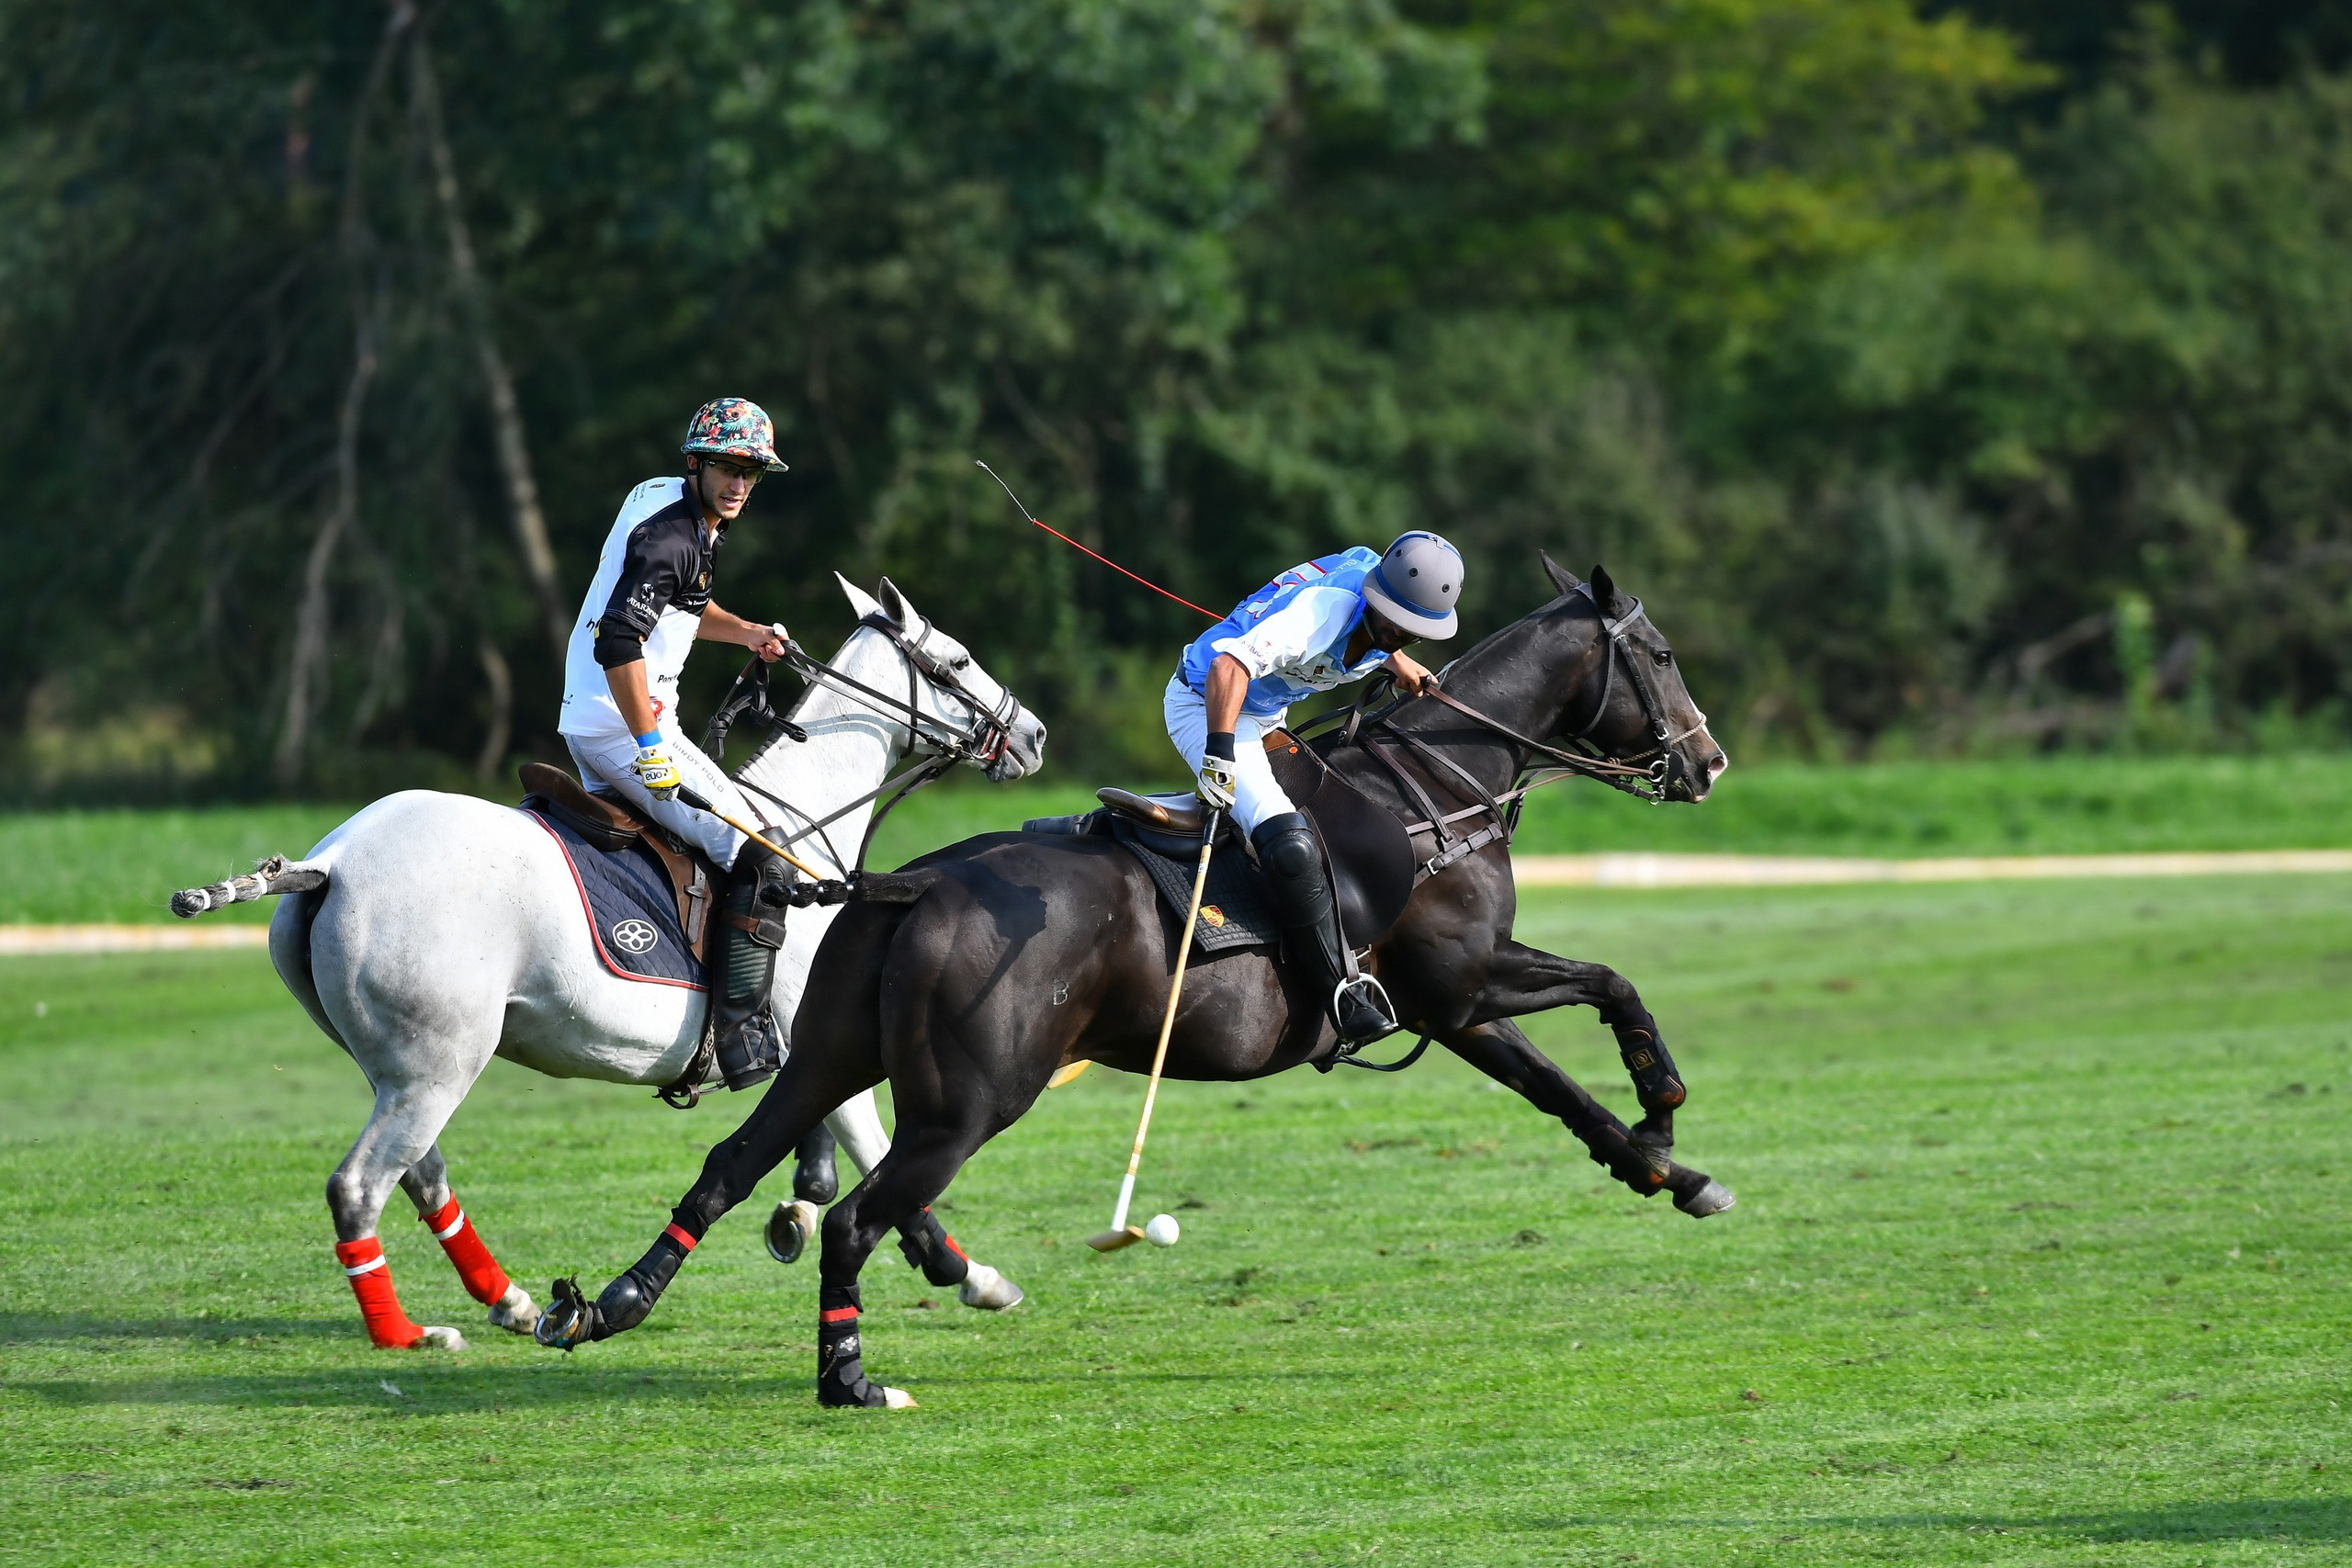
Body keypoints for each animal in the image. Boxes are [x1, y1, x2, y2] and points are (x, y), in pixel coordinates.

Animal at [174, 575, 1045, 1351]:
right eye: (958, 660)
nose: (1032, 735)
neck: (800, 827)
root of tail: (330, 861)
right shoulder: (825, 1040)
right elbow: (879, 1156)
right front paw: (972, 1276)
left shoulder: (816, 1048)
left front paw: (810, 1212)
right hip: (436, 1065)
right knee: (360, 1185)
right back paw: (404, 1333)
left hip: (391, 1065)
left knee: (421, 1174)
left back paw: (513, 1302)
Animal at [537, 555, 1735, 1407]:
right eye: (1661, 653)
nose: (1708, 763)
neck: (1435, 791)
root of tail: (914, 884)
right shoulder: (1465, 983)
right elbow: (1612, 989)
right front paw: (1667, 1117)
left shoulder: (1457, 1007)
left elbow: (1564, 1091)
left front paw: (1666, 1170)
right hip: (969, 1101)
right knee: (856, 1220)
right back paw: (849, 1377)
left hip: (828, 1049)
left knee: (732, 1162)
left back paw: (606, 1305)